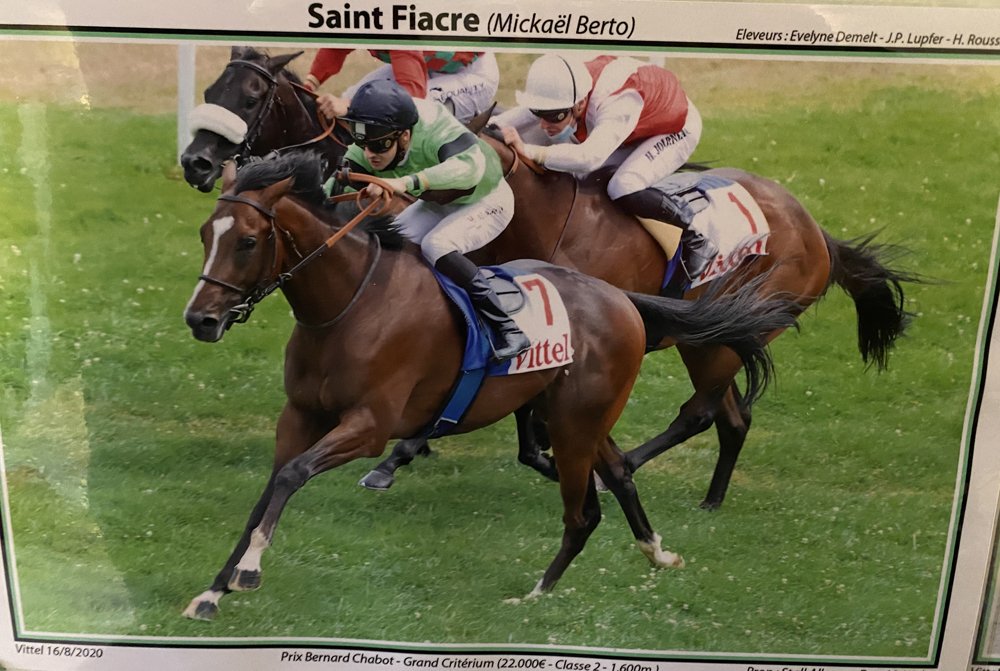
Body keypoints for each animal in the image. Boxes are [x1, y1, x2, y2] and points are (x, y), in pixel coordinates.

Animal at [179, 152, 798, 620]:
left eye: (249, 241)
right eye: (206, 232)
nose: (200, 320)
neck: (350, 303)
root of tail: (622, 298)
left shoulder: (369, 426)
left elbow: (293, 475)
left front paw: (249, 571)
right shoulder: (300, 415)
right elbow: (269, 491)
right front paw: (212, 591)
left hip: (574, 423)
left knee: (583, 513)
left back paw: (537, 594)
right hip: (577, 416)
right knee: (619, 474)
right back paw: (655, 554)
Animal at [181, 47, 916, 510]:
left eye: (251, 94)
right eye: (211, 90)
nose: (196, 161)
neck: (535, 210)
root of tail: (817, 232)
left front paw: (410, 457)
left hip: (716, 336)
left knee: (707, 409)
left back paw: (627, 468)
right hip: (711, 339)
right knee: (730, 415)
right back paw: (705, 497)